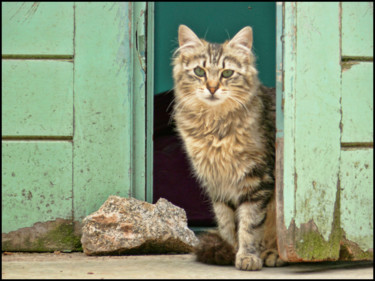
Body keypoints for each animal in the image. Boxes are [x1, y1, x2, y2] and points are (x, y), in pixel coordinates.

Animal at [173, 25, 284, 270]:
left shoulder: (256, 180)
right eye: (199, 71)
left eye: (227, 74)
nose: (212, 88)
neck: (215, 127)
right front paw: (229, 251)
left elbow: (250, 225)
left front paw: (247, 257)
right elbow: (226, 223)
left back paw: (274, 254)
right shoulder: (217, 184)